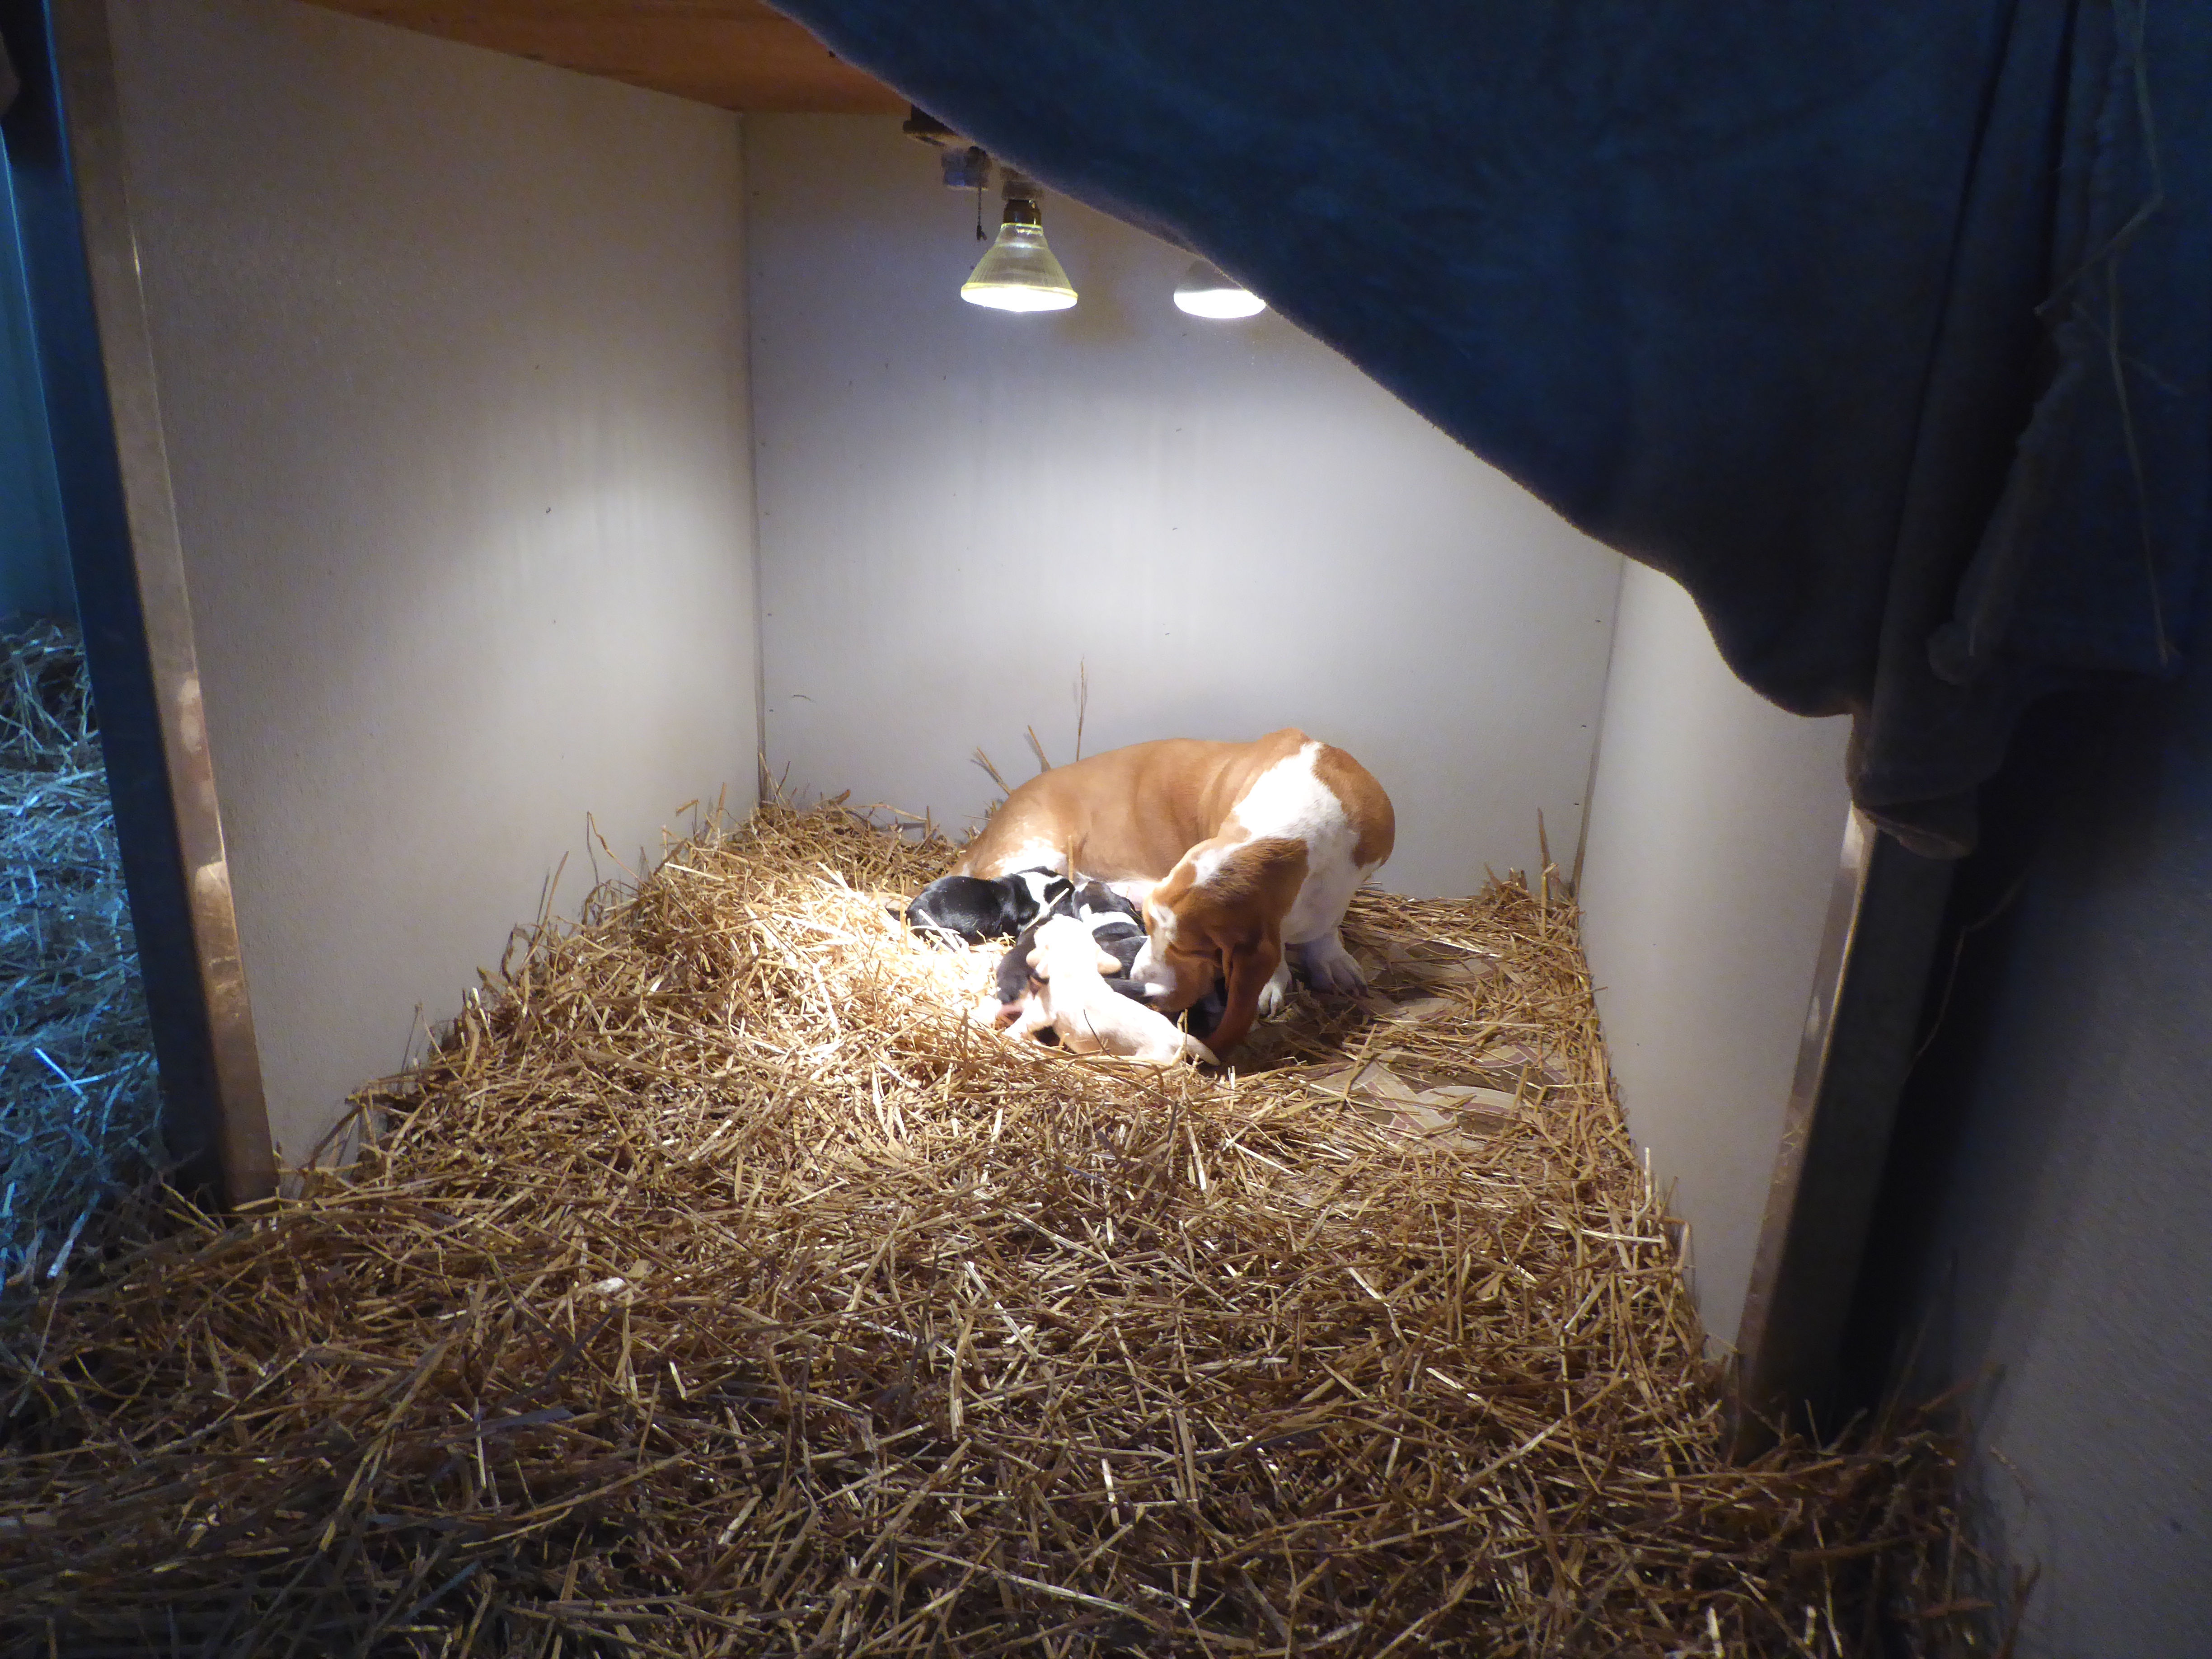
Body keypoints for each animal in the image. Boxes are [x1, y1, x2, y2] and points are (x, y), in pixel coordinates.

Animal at [1004, 915, 1230, 1070]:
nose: (1045, 923)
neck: (1077, 965)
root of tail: (1178, 1035)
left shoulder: (1043, 1010)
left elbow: (1027, 1021)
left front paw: (1007, 1034)